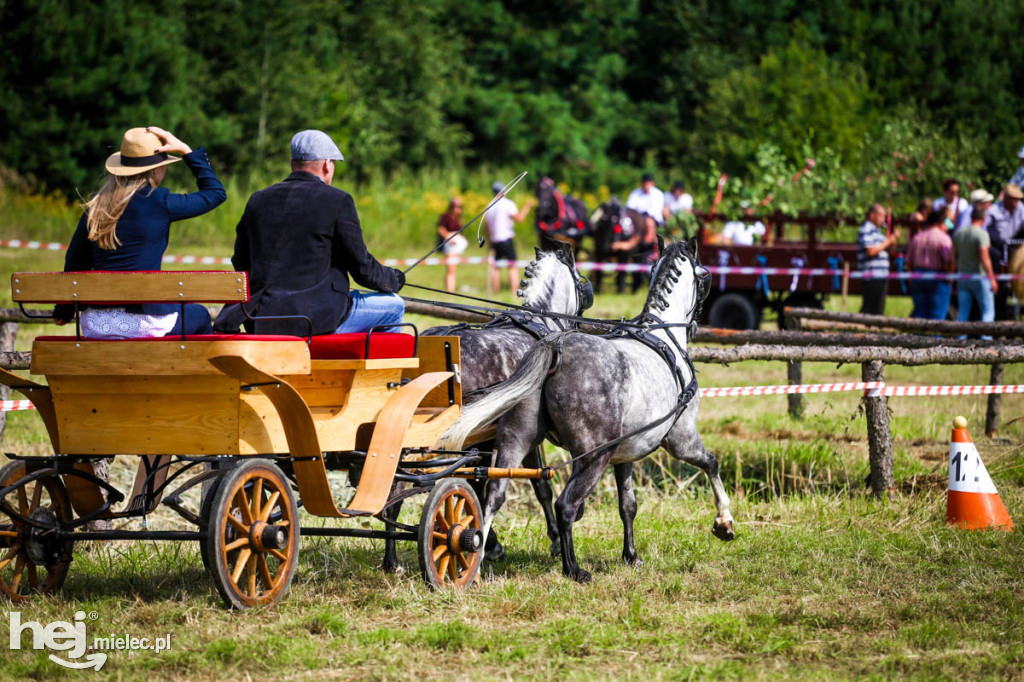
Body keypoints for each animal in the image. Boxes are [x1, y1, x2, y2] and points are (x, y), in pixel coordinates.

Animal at [382, 240, 593, 569]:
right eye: (582, 282)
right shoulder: (521, 435)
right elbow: (540, 487)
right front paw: (554, 538)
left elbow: (482, 483)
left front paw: (487, 541)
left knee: (395, 490)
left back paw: (391, 559)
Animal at [440, 238, 737, 577]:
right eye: (706, 276)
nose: (699, 322)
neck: (661, 334)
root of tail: (553, 348)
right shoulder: (681, 440)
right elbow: (712, 464)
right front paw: (724, 523)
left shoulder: (626, 453)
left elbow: (628, 505)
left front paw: (631, 555)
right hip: (594, 456)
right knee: (564, 504)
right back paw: (573, 568)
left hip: (516, 441)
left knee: (493, 495)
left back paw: (474, 560)